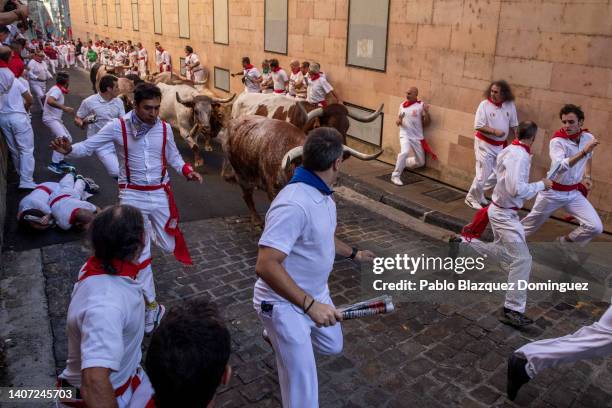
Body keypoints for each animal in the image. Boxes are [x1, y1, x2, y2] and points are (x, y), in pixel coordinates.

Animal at [220, 103, 382, 226]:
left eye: (347, 126)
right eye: (329, 126)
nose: (345, 155)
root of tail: (235, 122)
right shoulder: (273, 189)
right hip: (241, 173)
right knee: (247, 195)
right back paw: (256, 220)